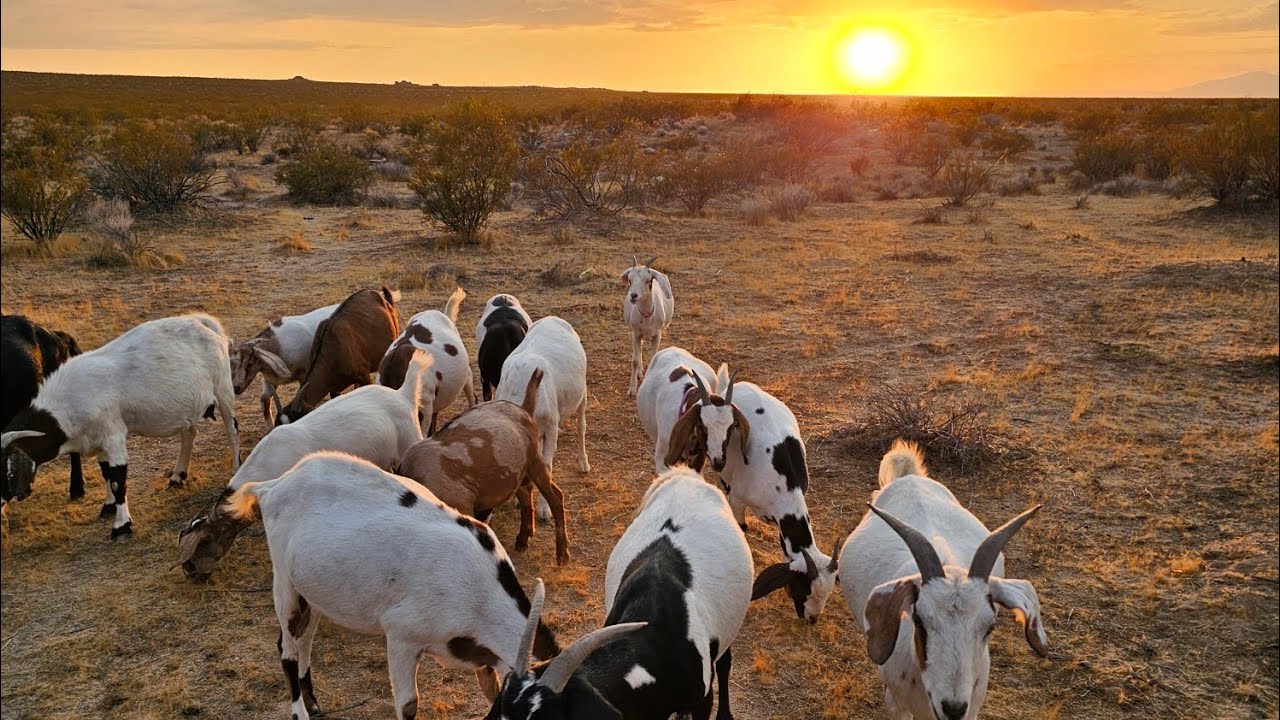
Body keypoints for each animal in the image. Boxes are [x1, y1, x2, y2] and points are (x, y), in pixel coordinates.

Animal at [224, 451, 561, 720]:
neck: (480, 585)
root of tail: (272, 486)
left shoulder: (484, 657)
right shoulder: (402, 636)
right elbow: (408, 705)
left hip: (313, 591)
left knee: (303, 640)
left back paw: (315, 705)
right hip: (285, 582)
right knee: (287, 651)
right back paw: (301, 713)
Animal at [395, 369, 569, 564]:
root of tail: (524, 409)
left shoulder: (461, 503)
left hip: (535, 461)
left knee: (556, 497)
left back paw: (562, 555)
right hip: (519, 472)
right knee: (526, 495)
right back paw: (522, 541)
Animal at [494, 316, 588, 521]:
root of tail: (553, 318)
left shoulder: (551, 428)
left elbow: (546, 466)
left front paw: (545, 511)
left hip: (582, 393)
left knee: (581, 425)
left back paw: (584, 463)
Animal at [621, 255, 673, 397]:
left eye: (647, 280)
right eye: (630, 279)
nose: (633, 296)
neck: (646, 316)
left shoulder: (657, 334)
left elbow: (652, 359)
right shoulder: (636, 334)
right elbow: (634, 361)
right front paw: (632, 389)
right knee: (640, 350)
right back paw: (639, 373)